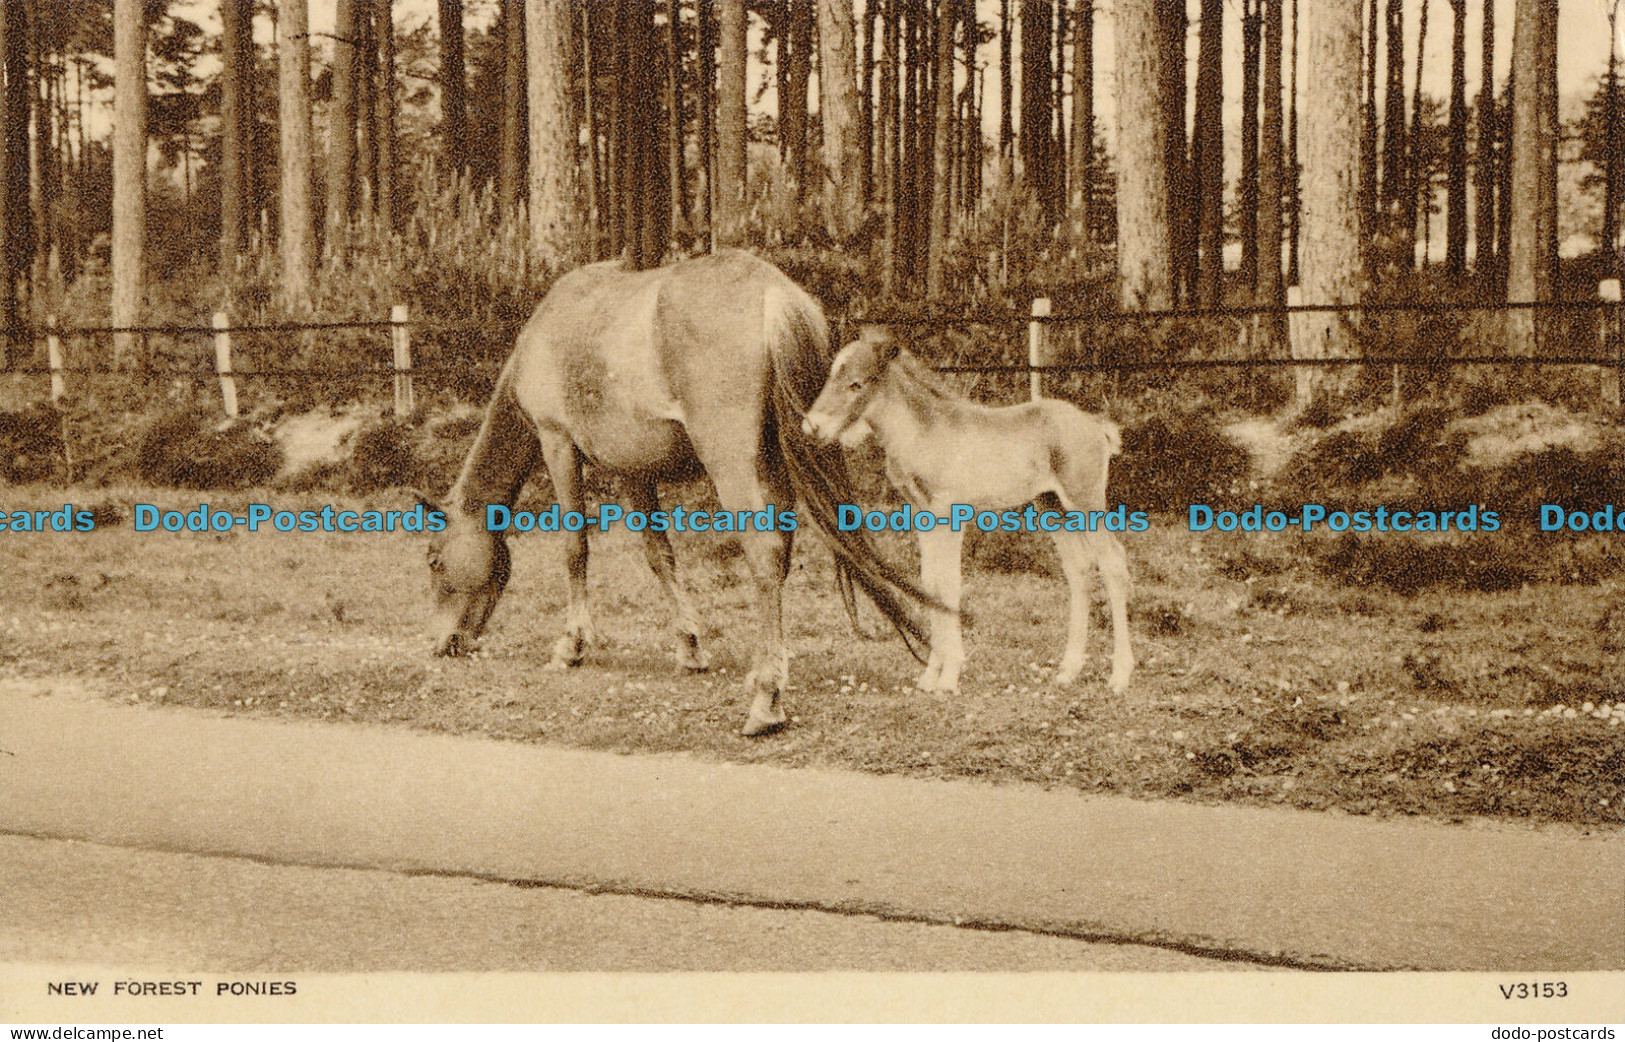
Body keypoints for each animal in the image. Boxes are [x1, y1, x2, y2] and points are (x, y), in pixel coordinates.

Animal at [796, 328, 1131, 695]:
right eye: (831, 376)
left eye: (856, 384)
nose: (812, 427)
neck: (924, 430)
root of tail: (1095, 423)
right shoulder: (922, 514)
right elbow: (930, 583)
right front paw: (930, 675)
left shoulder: (948, 514)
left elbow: (948, 583)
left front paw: (949, 675)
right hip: (1052, 507)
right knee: (1079, 569)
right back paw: (1069, 670)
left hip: (1084, 503)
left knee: (1113, 563)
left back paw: (1120, 675)